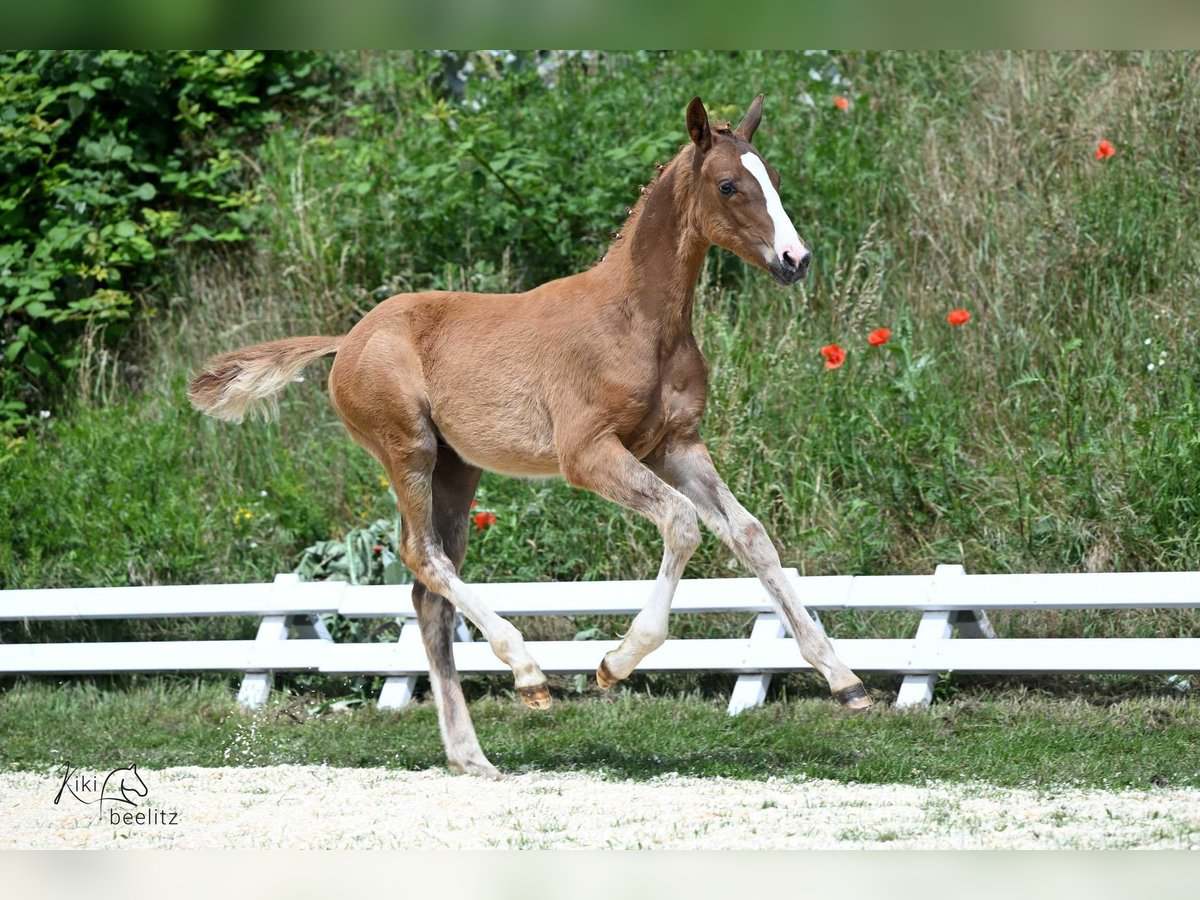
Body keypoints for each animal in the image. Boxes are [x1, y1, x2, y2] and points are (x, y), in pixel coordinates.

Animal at [192, 95, 878, 777]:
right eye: (729, 184)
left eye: (775, 179)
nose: (795, 260)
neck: (638, 320)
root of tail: (347, 340)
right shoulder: (588, 453)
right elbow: (682, 523)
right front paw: (613, 664)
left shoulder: (676, 444)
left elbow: (749, 534)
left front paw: (846, 682)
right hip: (408, 450)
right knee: (423, 555)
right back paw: (527, 675)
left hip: (457, 470)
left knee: (428, 593)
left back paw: (471, 757)